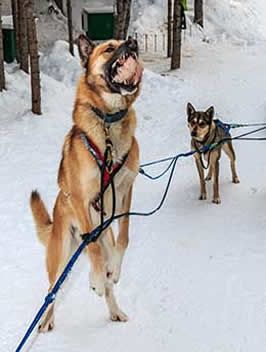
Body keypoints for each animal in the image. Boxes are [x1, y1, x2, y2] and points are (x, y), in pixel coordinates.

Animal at [30, 34, 143, 332]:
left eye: (126, 41)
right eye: (109, 48)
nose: (133, 42)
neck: (108, 125)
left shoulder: (125, 192)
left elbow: (124, 238)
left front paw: (113, 271)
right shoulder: (82, 199)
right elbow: (93, 251)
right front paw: (97, 280)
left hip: (103, 230)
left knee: (105, 257)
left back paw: (112, 305)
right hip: (61, 256)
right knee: (52, 290)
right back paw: (47, 319)